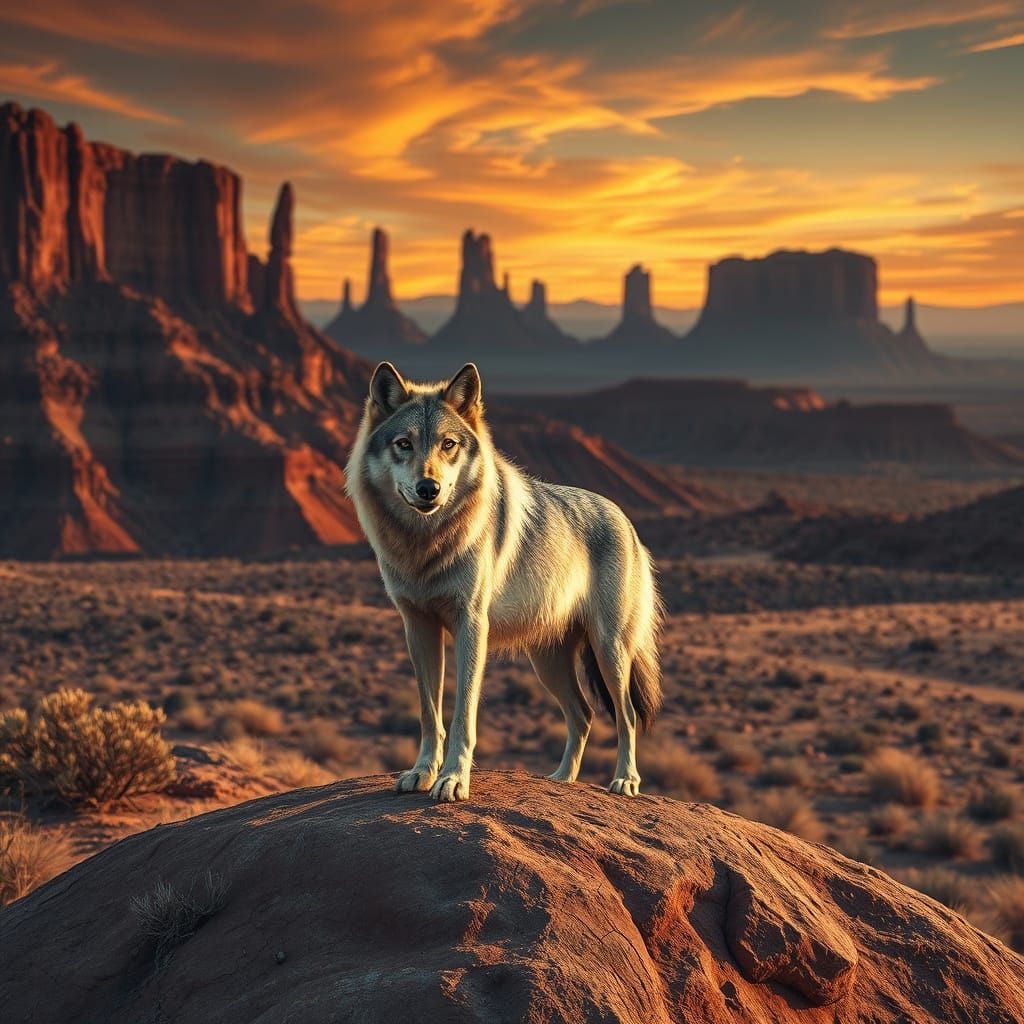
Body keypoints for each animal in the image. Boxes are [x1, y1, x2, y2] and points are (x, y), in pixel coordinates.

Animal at [345, 361, 663, 802]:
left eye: (448, 444)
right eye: (404, 444)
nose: (429, 488)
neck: (427, 546)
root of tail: (626, 520)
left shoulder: (471, 625)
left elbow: (462, 715)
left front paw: (453, 780)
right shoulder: (417, 627)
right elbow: (429, 713)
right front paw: (422, 772)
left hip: (609, 650)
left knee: (626, 714)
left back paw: (625, 781)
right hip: (547, 662)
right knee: (582, 714)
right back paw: (561, 780)